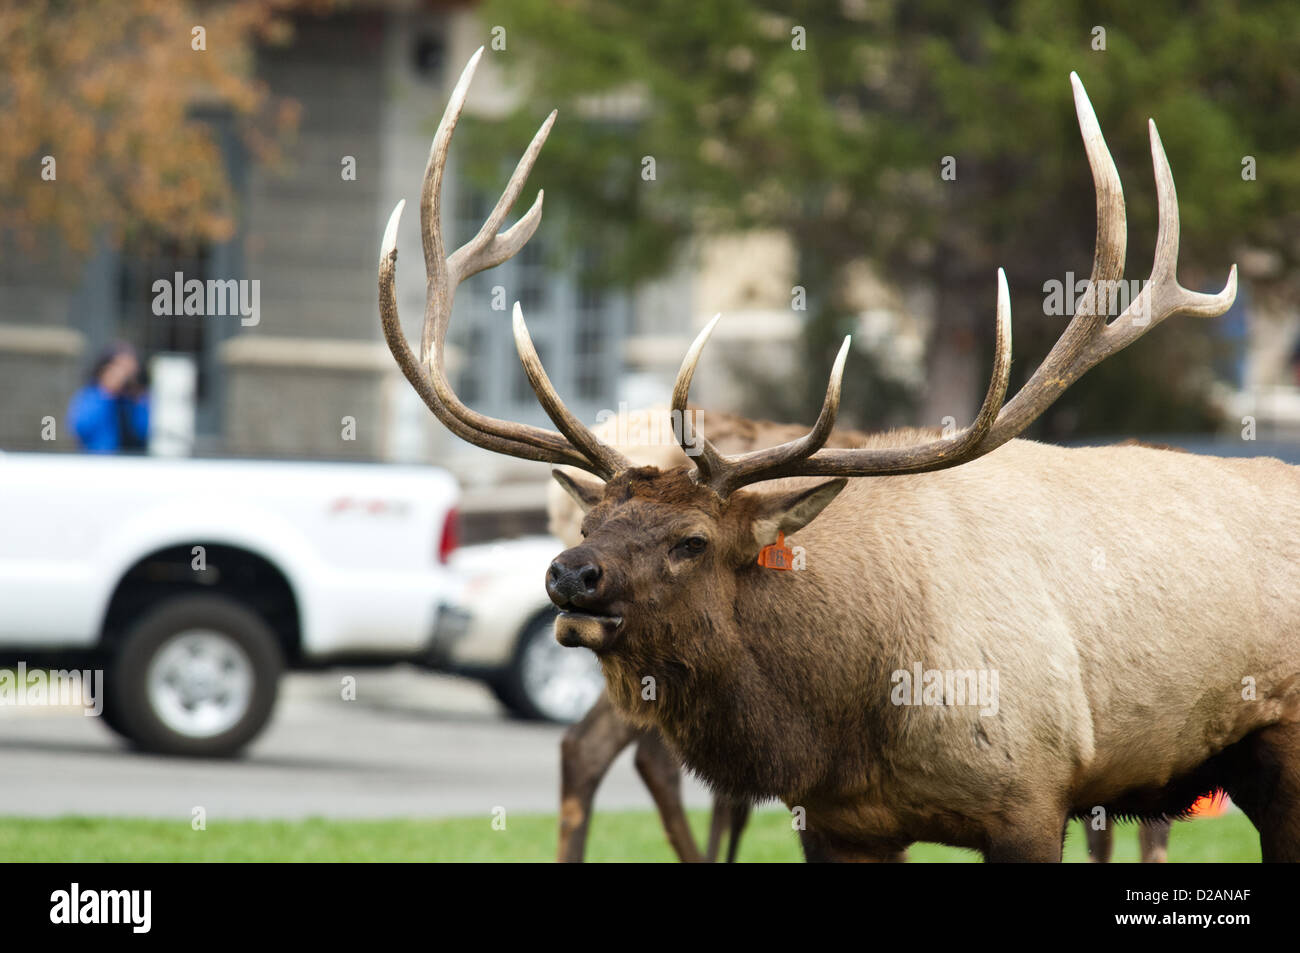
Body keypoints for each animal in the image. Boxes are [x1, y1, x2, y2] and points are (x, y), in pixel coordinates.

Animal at [379, 48, 1300, 858]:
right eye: (591, 519)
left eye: (693, 541)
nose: (571, 574)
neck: (851, 709)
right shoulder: (838, 819)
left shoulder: (1032, 792)